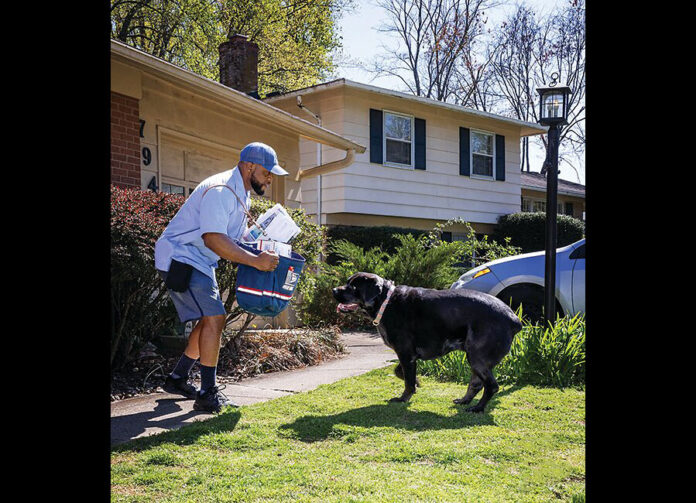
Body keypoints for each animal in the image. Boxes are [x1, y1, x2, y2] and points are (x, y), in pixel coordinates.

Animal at [334, 272, 520, 414]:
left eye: (353, 287)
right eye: (347, 283)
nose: (334, 290)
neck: (386, 302)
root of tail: (514, 319)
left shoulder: (405, 353)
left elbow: (407, 381)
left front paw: (403, 398)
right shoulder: (408, 356)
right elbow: (400, 371)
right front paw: (417, 383)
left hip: (477, 358)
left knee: (491, 386)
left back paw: (478, 408)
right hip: (476, 359)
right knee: (476, 384)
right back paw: (464, 401)